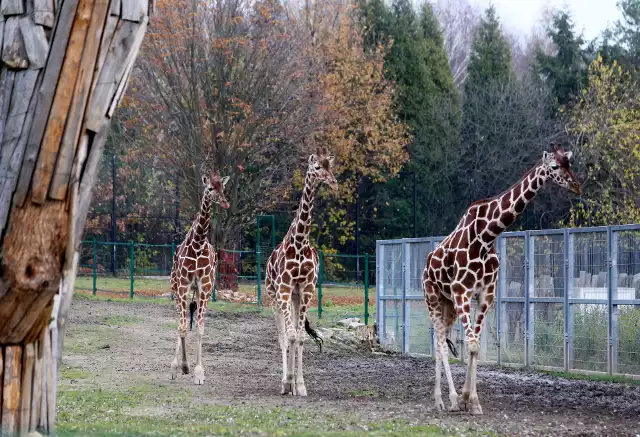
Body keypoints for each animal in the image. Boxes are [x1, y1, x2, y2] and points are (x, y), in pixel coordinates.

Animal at [170, 169, 230, 384]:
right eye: (210, 188)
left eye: (223, 187)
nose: (225, 203)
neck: (197, 244)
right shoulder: (182, 287)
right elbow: (182, 327)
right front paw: (180, 367)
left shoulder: (205, 287)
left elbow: (200, 328)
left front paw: (198, 372)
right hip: (176, 288)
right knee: (180, 322)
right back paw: (178, 366)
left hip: (197, 291)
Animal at [264, 146, 338, 396]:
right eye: (317, 167)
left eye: (330, 166)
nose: (333, 183)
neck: (299, 243)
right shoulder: (285, 289)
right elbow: (290, 336)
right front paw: (288, 381)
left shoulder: (306, 289)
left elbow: (301, 338)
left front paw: (301, 385)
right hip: (275, 297)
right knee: (282, 336)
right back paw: (284, 383)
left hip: (295, 299)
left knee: (295, 335)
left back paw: (294, 384)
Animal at [422, 142, 584, 412]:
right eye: (554, 166)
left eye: (569, 163)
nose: (576, 185)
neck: (486, 236)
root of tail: (426, 264)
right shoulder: (461, 291)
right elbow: (472, 344)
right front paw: (463, 398)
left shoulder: (485, 294)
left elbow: (475, 346)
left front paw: (472, 400)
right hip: (433, 297)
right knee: (439, 343)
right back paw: (446, 400)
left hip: (448, 304)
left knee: (441, 340)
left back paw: (444, 400)